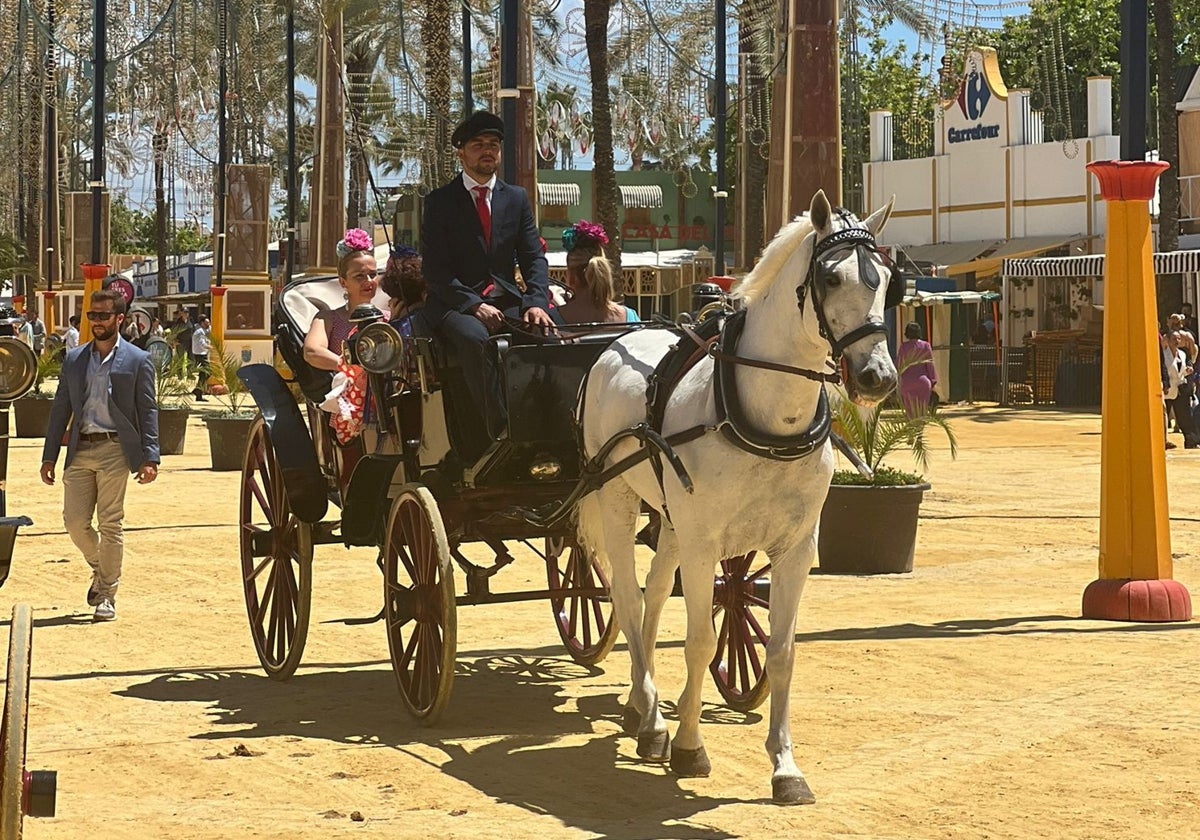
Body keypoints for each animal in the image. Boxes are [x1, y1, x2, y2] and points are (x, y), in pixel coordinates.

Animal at [576, 192, 897, 806]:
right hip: (618, 499)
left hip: (671, 519)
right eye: (830, 276)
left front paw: (785, 767)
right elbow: (701, 641)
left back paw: (640, 707)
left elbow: (782, 651)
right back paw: (654, 721)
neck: (764, 415)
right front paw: (689, 746)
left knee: (653, 596)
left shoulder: (795, 549)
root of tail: (617, 344)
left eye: (888, 280)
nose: (878, 377)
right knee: (626, 598)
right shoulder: (704, 546)